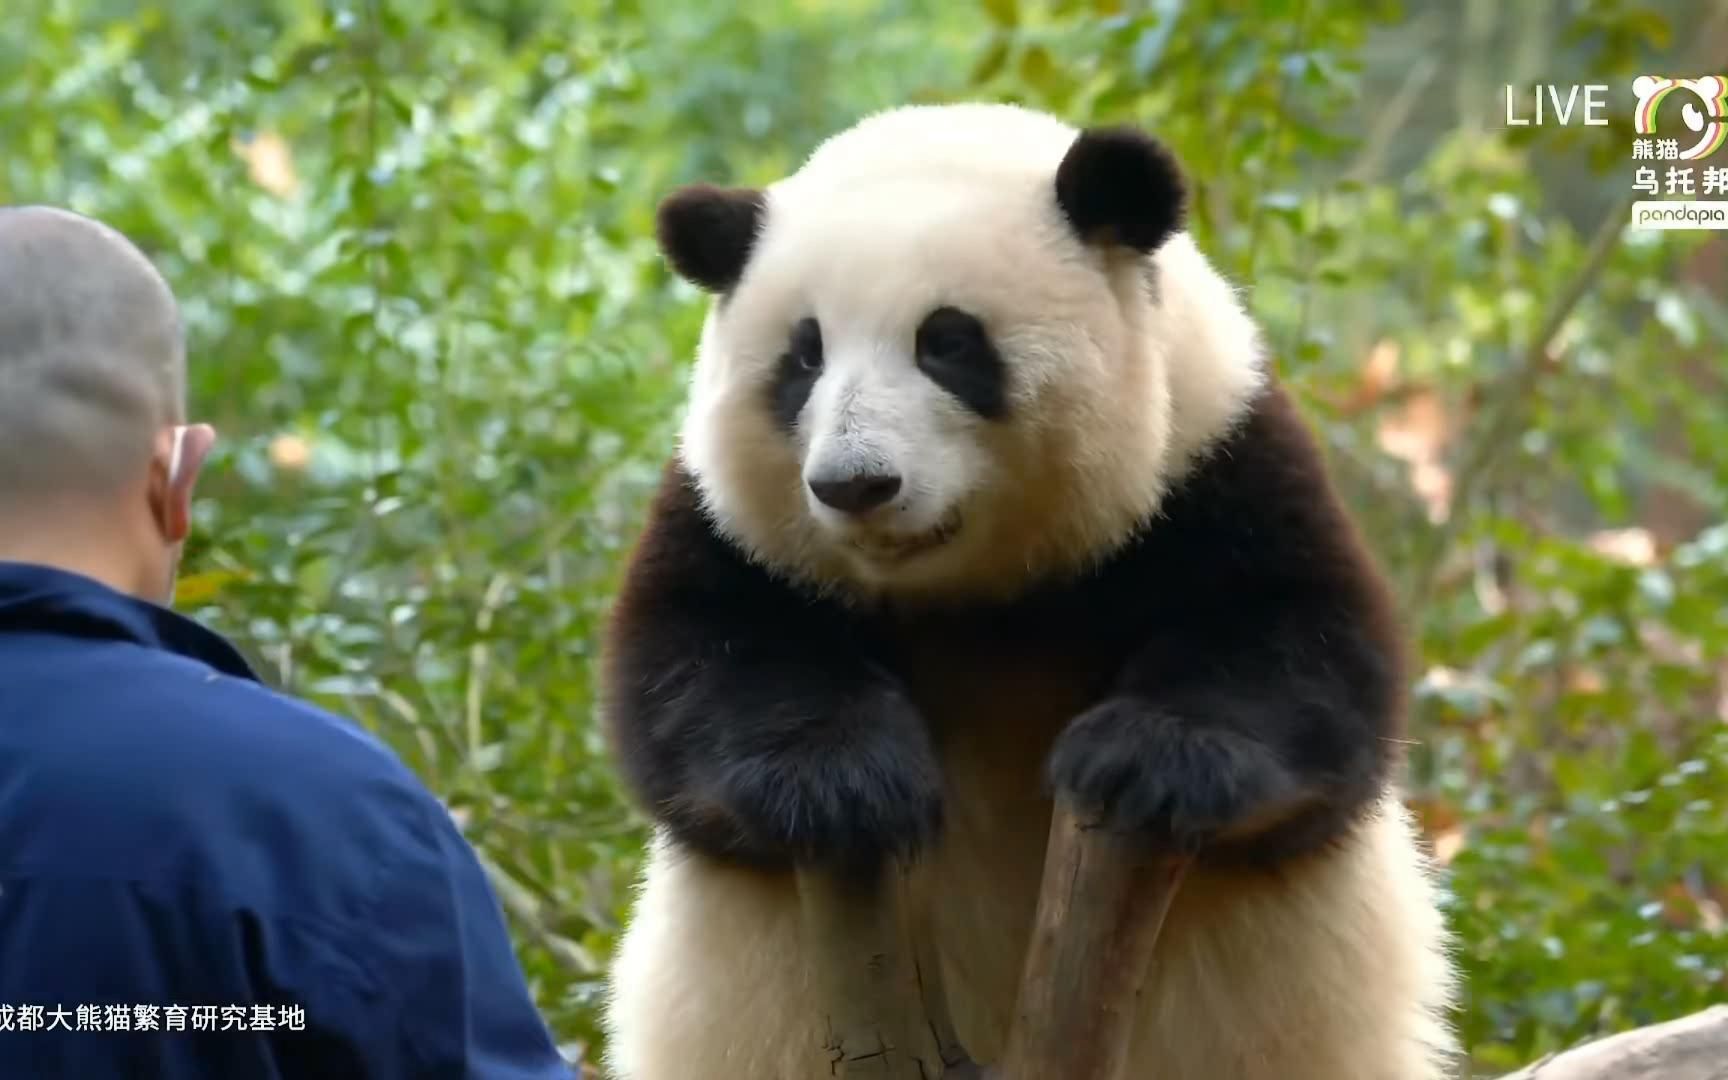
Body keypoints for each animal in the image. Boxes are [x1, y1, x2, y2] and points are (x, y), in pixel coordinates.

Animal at [594, 103, 1458, 1078]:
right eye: (803, 357)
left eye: (946, 341)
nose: (855, 484)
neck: (976, 594)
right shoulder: (731, 522)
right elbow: (694, 664)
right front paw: (843, 779)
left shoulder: (1213, 458)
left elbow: (1306, 653)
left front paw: (1140, 760)